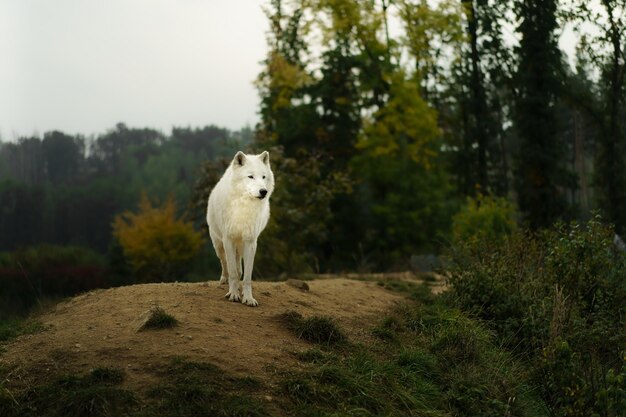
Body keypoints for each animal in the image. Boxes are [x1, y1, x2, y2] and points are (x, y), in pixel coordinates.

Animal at [205, 152, 272, 306]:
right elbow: (233, 273)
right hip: (219, 245)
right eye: (250, 176)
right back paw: (224, 280)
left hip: (240, 246)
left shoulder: (251, 242)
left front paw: (248, 298)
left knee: (238, 267)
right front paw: (234, 295)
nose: (263, 191)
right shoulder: (228, 239)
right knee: (225, 264)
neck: (244, 206)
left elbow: (246, 276)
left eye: (263, 177)